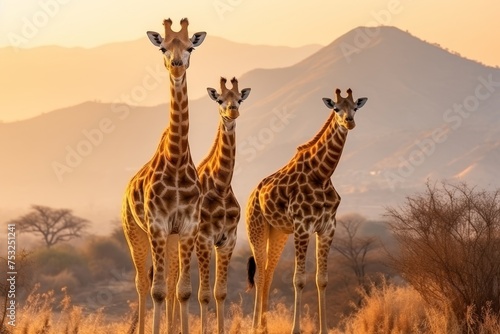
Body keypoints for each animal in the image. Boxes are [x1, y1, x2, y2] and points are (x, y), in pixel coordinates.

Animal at [120, 17, 205, 334]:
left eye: (190, 46)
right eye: (163, 48)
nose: (176, 65)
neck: (177, 160)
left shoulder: (188, 226)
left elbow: (182, 290)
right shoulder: (156, 225)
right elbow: (157, 290)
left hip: (169, 238)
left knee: (167, 283)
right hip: (134, 231)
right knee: (143, 284)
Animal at [245, 87, 368, 332]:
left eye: (355, 107)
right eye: (336, 108)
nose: (349, 122)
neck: (322, 175)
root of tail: (251, 196)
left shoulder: (328, 227)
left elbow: (322, 279)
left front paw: (324, 329)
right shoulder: (302, 227)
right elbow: (298, 279)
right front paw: (296, 329)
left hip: (278, 232)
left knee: (269, 272)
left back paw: (264, 326)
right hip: (256, 229)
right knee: (260, 275)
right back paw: (255, 327)